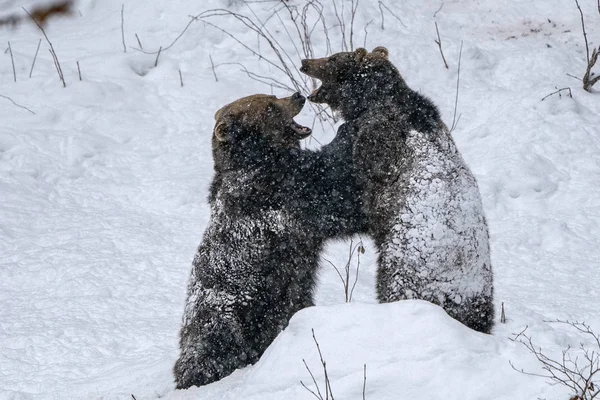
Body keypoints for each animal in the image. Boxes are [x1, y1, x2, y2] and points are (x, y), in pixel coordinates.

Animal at [173, 93, 366, 388]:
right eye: (270, 107)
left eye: (273, 97)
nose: (297, 96)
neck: (262, 160)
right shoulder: (279, 195)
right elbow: (334, 194)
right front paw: (347, 130)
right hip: (226, 317)